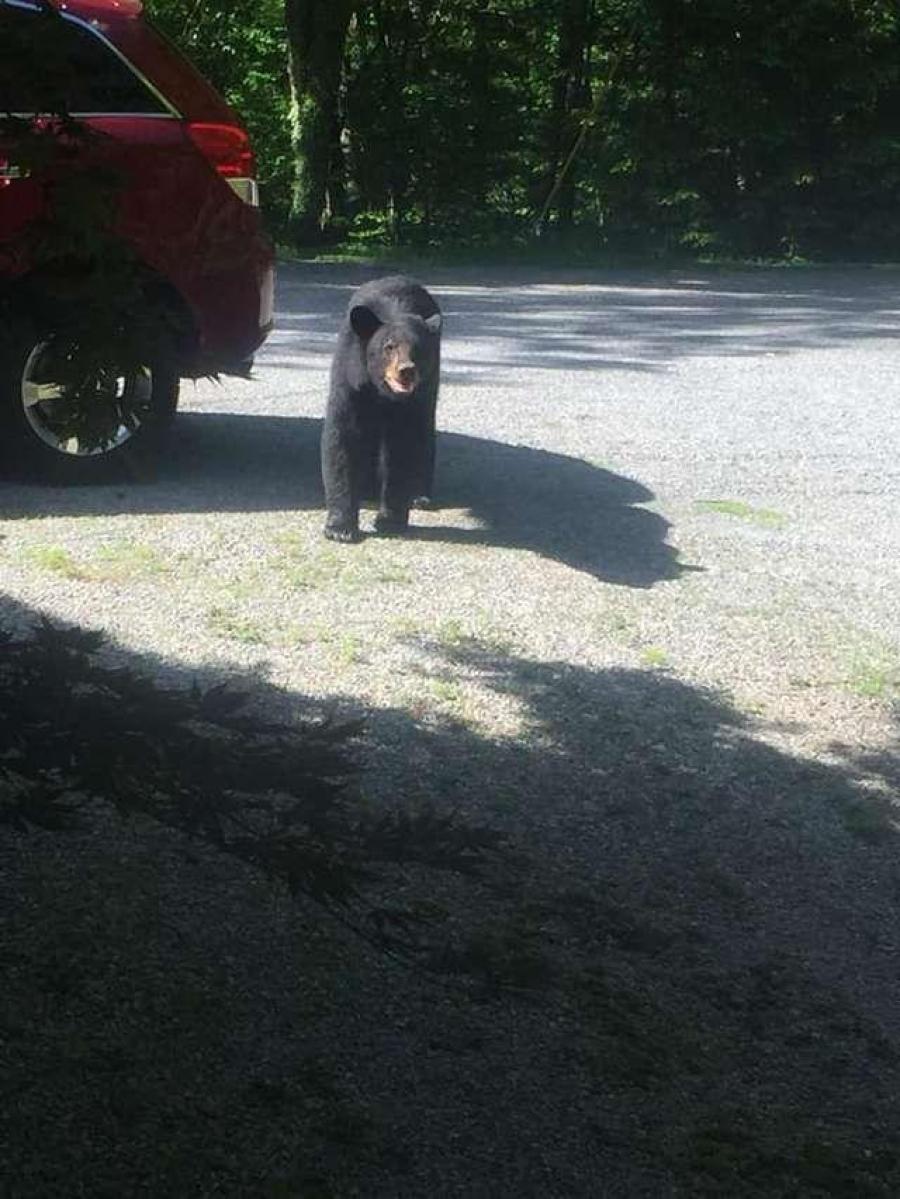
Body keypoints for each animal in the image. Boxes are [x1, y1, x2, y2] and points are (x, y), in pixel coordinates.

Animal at [321, 274, 441, 541]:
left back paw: (420, 495)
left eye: (419, 348)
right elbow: (343, 437)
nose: (406, 370)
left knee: (425, 432)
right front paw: (340, 528)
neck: (382, 392)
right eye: (389, 346)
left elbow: (402, 447)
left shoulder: (412, 401)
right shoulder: (350, 378)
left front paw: (390, 520)